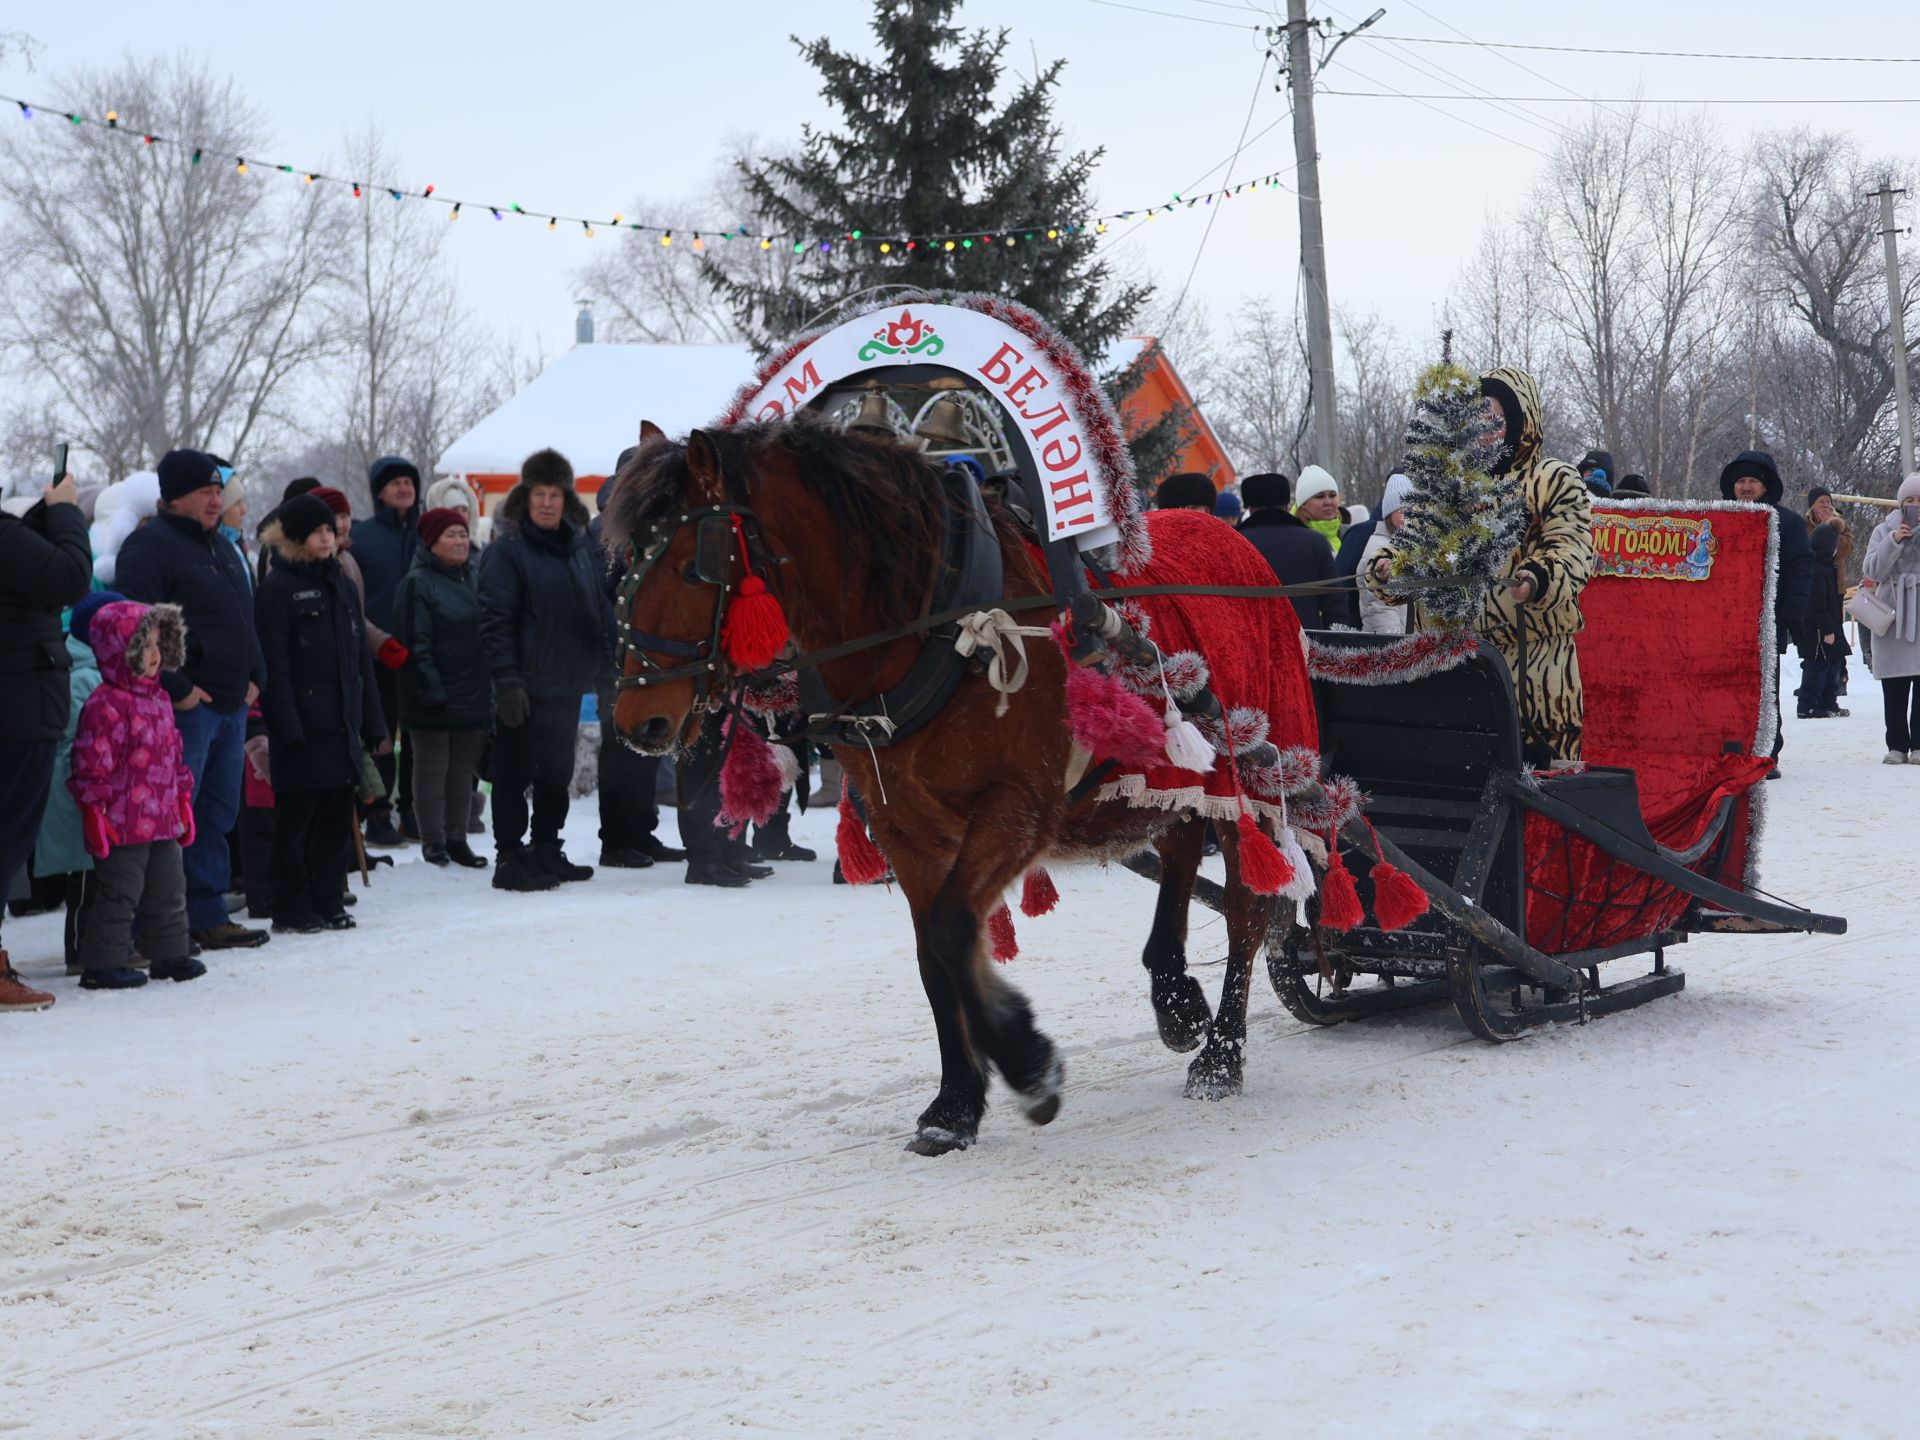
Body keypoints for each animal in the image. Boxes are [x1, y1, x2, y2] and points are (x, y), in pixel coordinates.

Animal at [602, 410, 1305, 1159]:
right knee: (1179, 855)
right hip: (1170, 779)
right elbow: (934, 959)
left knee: (1246, 911)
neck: (937, 631)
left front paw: (1027, 1063)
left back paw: (1221, 1055)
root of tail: (1232, 538)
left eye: (693, 564)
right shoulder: (905, 827)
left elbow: (948, 932)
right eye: (621, 566)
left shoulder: (1016, 808)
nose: (638, 721)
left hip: (1248, 781)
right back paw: (1175, 1000)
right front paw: (955, 1105)